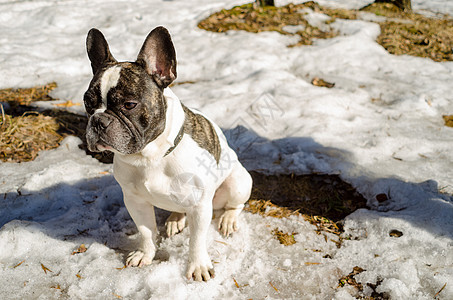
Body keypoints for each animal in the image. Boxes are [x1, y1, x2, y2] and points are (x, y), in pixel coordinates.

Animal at [83, 26, 252, 282]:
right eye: (87, 103)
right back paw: (175, 220)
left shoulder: (200, 207)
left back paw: (228, 220)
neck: (150, 157)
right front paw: (145, 254)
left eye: (129, 105)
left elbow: (197, 241)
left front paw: (198, 266)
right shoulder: (135, 201)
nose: (99, 121)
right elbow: (146, 231)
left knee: (236, 205)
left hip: (237, 183)